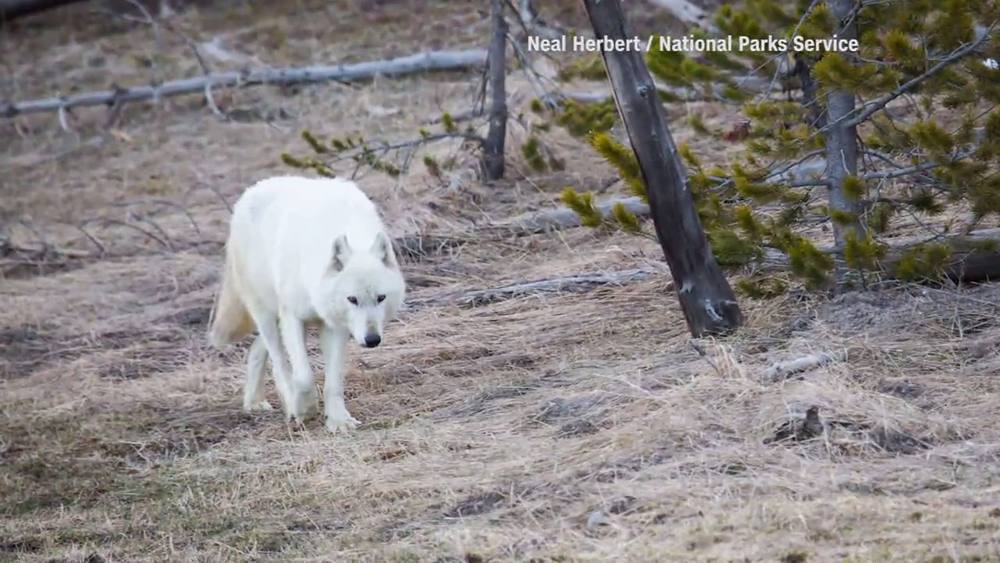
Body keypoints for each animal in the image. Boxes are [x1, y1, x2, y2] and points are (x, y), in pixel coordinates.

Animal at [207, 175, 406, 433]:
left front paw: (338, 421)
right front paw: (305, 410)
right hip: (267, 314)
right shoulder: (293, 317)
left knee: (257, 349)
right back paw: (289, 405)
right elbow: (303, 376)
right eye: (352, 299)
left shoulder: (335, 325)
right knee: (279, 362)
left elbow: (333, 381)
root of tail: (255, 188)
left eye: (380, 298)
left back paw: (254, 402)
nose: (372, 340)